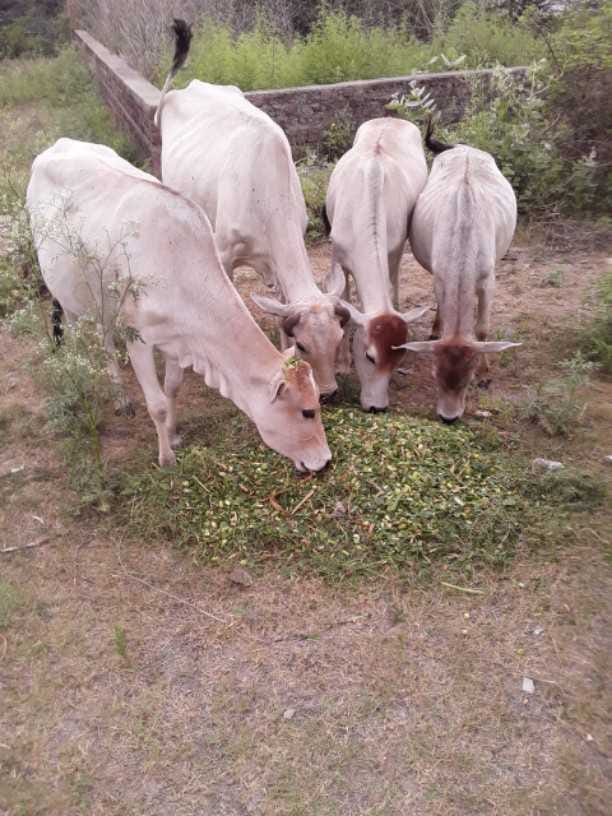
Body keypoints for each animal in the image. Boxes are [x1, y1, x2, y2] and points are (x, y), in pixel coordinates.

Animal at [26, 138, 332, 472]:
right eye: (307, 411)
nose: (326, 462)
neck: (178, 266)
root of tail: (58, 144)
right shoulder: (138, 340)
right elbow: (157, 404)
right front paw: (166, 457)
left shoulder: (180, 339)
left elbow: (172, 386)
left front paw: (172, 434)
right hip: (71, 301)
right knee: (96, 341)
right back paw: (120, 397)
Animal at [323, 117, 430, 412]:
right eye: (369, 356)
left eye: (397, 360)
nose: (377, 408)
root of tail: (392, 118)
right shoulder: (338, 255)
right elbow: (346, 306)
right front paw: (342, 364)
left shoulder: (393, 249)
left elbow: (390, 284)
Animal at [395, 121, 520, 423]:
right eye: (434, 374)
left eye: (468, 377)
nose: (448, 417)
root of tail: (462, 146)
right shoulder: (440, 275)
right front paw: (436, 330)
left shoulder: (488, 280)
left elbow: (482, 331)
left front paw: (486, 374)